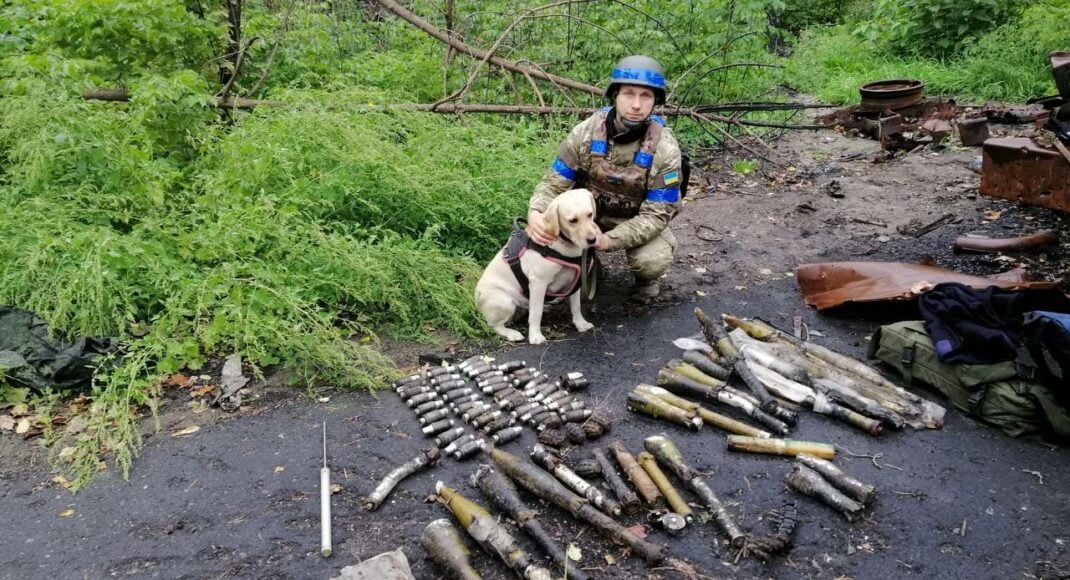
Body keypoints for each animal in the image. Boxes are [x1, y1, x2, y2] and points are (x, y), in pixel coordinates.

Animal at [479, 189, 603, 346]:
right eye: (573, 221)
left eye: (590, 214)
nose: (592, 240)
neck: (562, 242)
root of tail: (476, 298)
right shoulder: (538, 282)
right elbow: (536, 314)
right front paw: (535, 336)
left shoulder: (576, 280)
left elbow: (576, 306)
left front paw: (580, 323)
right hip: (504, 301)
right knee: (495, 325)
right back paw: (512, 333)